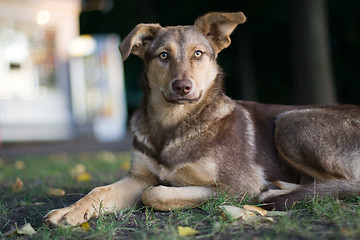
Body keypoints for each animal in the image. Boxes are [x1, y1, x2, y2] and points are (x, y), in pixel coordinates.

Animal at [44, 10, 360, 225]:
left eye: (198, 54)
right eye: (163, 56)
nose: (182, 87)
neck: (172, 123)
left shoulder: (236, 187)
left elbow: (155, 193)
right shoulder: (139, 176)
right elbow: (100, 190)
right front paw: (69, 212)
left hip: (289, 122)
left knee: (345, 183)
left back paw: (275, 192)